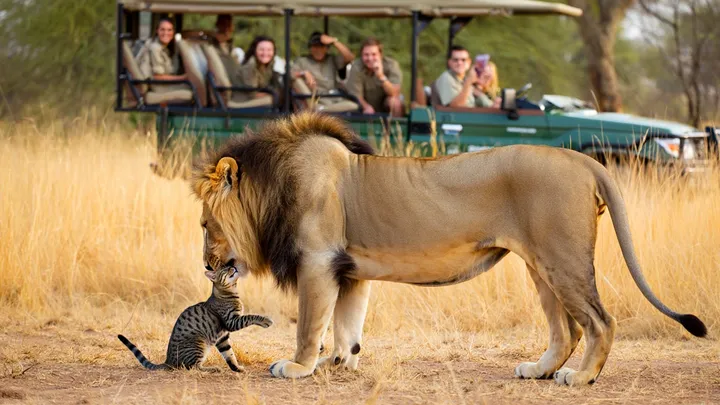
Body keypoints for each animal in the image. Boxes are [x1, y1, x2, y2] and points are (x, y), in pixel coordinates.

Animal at [191, 112, 707, 386]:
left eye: (204, 224)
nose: (206, 266)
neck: (273, 186)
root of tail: (581, 159)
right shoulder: (347, 270)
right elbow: (346, 326)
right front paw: (340, 362)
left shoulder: (318, 263)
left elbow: (309, 325)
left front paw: (297, 367)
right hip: (541, 266)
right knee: (567, 330)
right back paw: (537, 370)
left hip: (562, 261)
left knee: (601, 322)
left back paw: (580, 378)